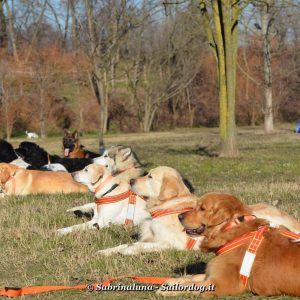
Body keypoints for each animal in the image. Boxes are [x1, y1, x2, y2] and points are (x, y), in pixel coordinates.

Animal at [158, 192, 298, 298]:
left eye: (202, 208)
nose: (179, 216)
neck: (231, 229)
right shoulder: (212, 273)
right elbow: (194, 277)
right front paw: (173, 281)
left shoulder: (220, 283)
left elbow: (192, 286)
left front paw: (166, 290)